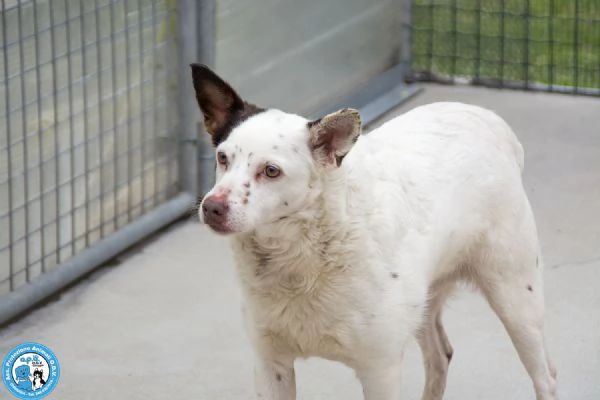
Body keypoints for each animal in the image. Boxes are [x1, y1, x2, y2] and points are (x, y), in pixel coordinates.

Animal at [192, 64, 556, 398]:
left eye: (271, 171)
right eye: (222, 158)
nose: (211, 207)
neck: (303, 259)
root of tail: (489, 120)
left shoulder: (380, 370)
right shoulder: (271, 363)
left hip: (516, 299)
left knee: (546, 377)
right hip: (425, 301)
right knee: (440, 356)